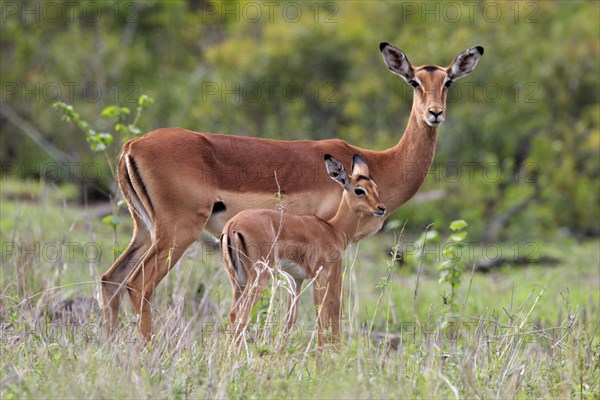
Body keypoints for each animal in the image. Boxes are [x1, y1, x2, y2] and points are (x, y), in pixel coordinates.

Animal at [220, 154, 384, 346]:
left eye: (375, 188)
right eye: (359, 190)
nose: (381, 208)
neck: (333, 229)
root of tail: (233, 224)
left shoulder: (295, 279)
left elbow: (290, 320)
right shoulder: (319, 276)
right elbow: (322, 317)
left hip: (238, 279)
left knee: (233, 313)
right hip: (259, 276)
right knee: (241, 313)